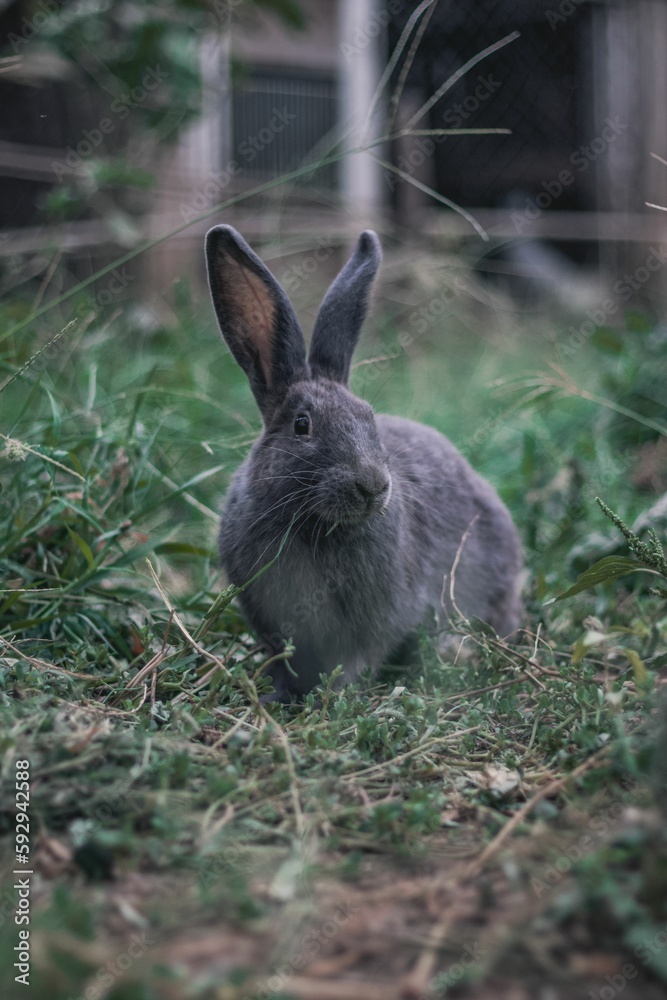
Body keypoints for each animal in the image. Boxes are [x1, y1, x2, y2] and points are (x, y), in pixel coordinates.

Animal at [206, 225, 523, 700]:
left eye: (369, 417)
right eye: (302, 425)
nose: (372, 486)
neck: (313, 525)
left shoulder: (380, 619)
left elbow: (360, 658)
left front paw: (334, 695)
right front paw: (279, 693)